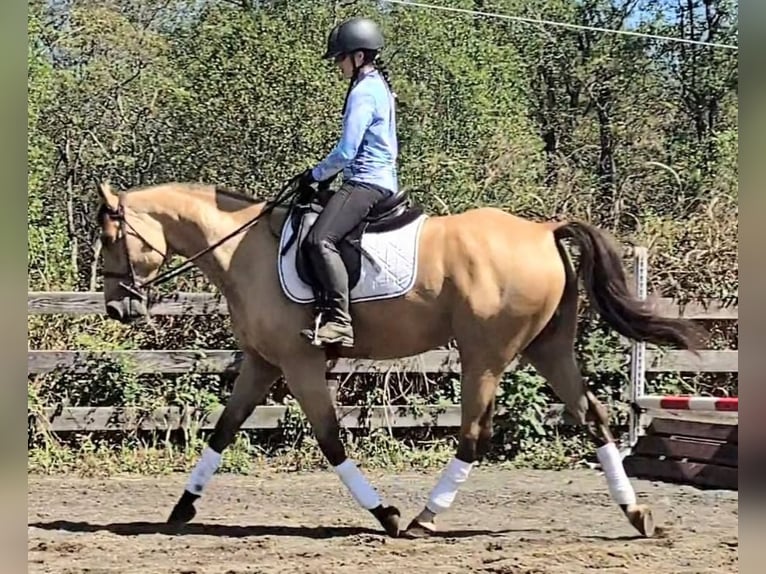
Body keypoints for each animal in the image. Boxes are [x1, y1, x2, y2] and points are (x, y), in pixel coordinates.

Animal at [94, 178, 702, 539]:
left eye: (108, 237)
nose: (117, 307)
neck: (246, 251)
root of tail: (542, 229)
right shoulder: (263, 363)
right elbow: (222, 431)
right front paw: (181, 509)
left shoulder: (299, 362)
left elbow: (330, 440)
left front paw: (382, 513)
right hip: (546, 347)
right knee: (592, 418)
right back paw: (637, 515)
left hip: (486, 354)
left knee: (474, 434)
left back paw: (421, 518)